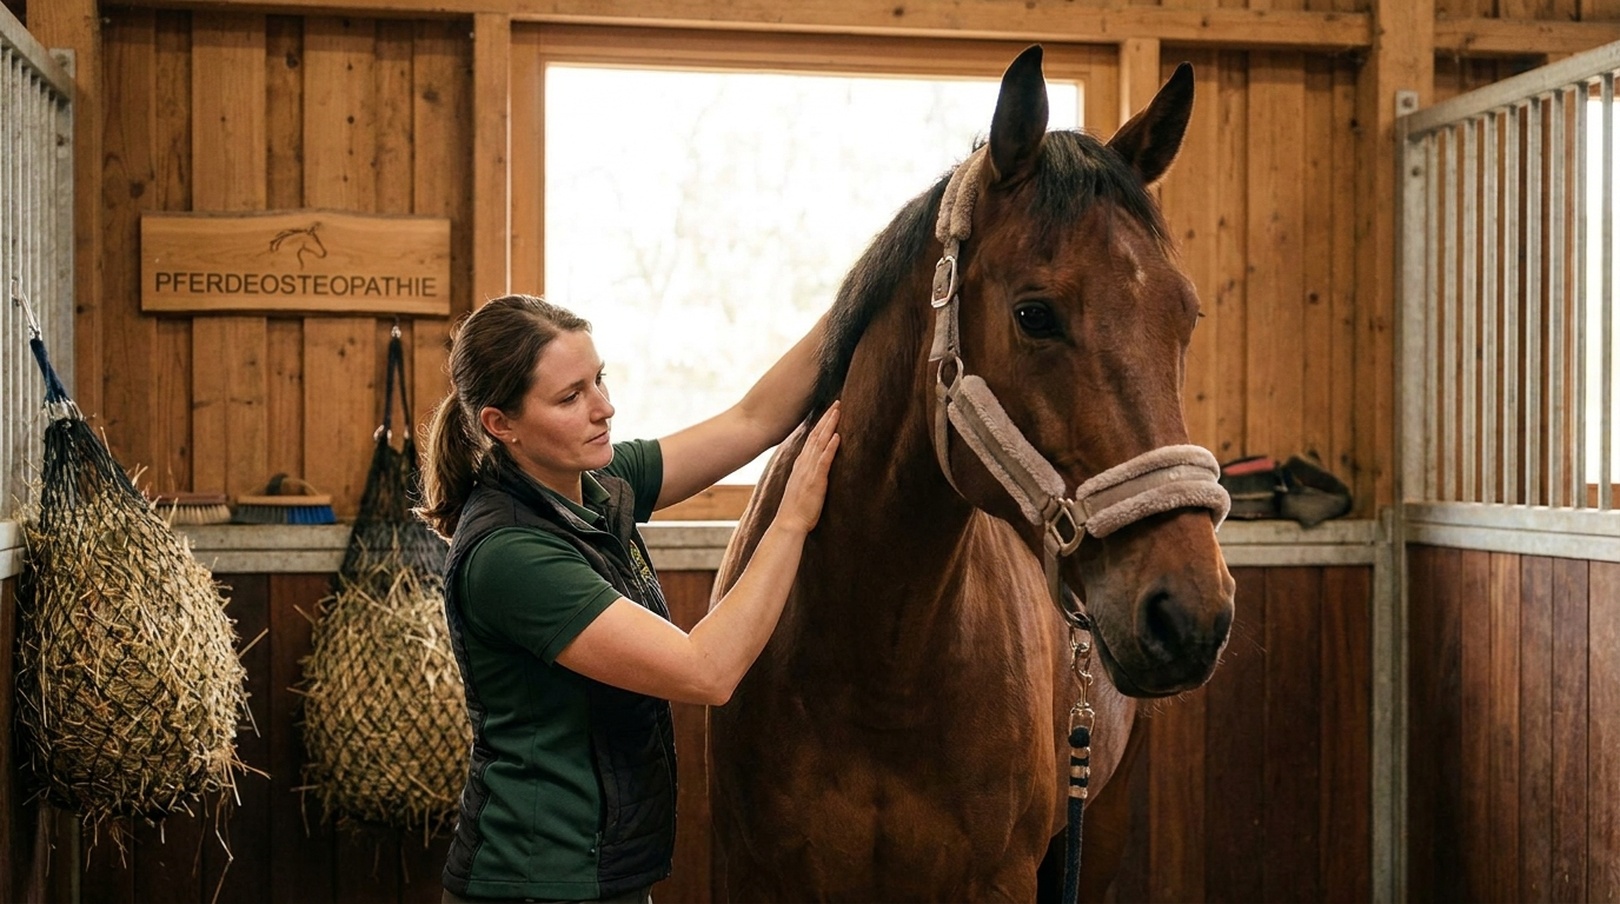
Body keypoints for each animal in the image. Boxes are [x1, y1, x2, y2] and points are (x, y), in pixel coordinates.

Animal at [708, 46, 1235, 902]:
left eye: (1185, 316)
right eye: (1034, 314)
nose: (1191, 612)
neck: (880, 659)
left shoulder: (1001, 878)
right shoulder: (754, 875)